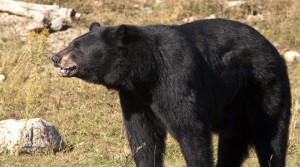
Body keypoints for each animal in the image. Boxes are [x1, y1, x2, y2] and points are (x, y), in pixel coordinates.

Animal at [51, 18, 290, 166]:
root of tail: (274, 50)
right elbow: (142, 135)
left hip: (264, 90)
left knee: (271, 139)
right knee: (232, 143)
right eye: (72, 43)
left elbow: (190, 129)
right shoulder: (135, 97)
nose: (55, 57)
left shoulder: (175, 77)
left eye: (76, 47)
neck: (145, 72)